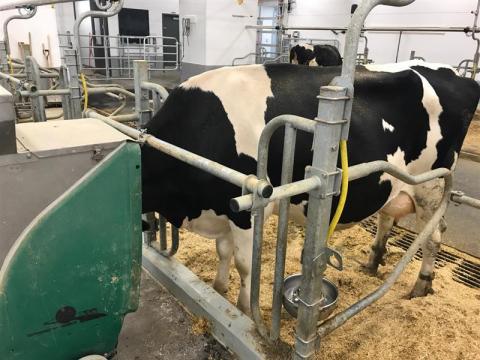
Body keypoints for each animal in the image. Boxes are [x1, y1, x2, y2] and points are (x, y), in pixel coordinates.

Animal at [142, 60, 480, 314]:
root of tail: (457, 75)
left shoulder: (245, 210)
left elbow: (244, 265)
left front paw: (246, 313)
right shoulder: (220, 210)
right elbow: (223, 254)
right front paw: (218, 290)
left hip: (431, 185)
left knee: (434, 237)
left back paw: (421, 284)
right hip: (395, 182)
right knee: (387, 216)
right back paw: (373, 262)